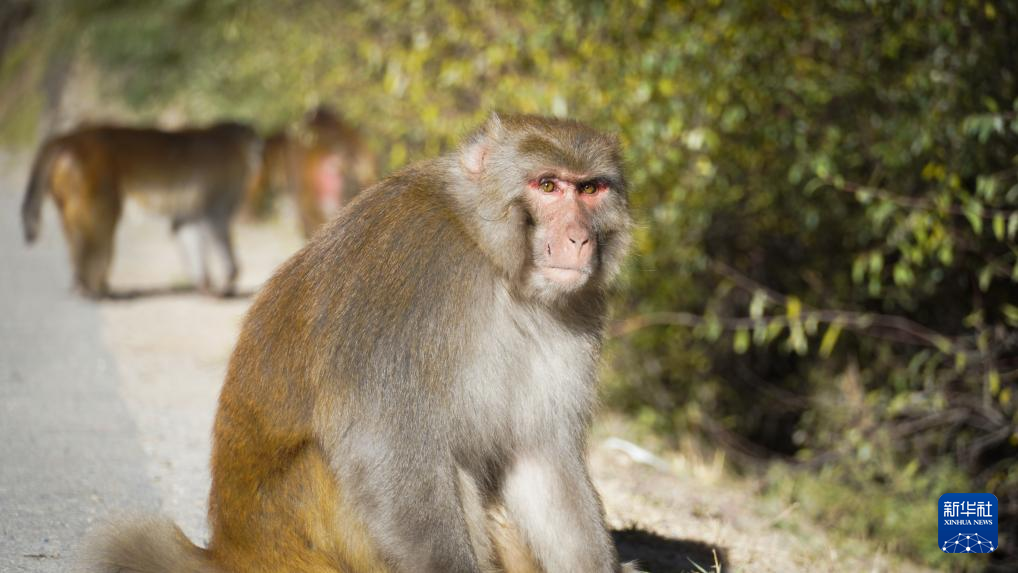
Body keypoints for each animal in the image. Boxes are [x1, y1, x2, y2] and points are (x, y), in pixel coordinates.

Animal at [21, 121, 261, 298]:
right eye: (256, 141)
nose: (258, 156)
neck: (231, 141)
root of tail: (70, 139)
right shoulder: (223, 181)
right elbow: (215, 220)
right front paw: (229, 279)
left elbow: (185, 224)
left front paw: (204, 284)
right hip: (91, 174)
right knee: (102, 219)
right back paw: (91, 286)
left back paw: (83, 283)